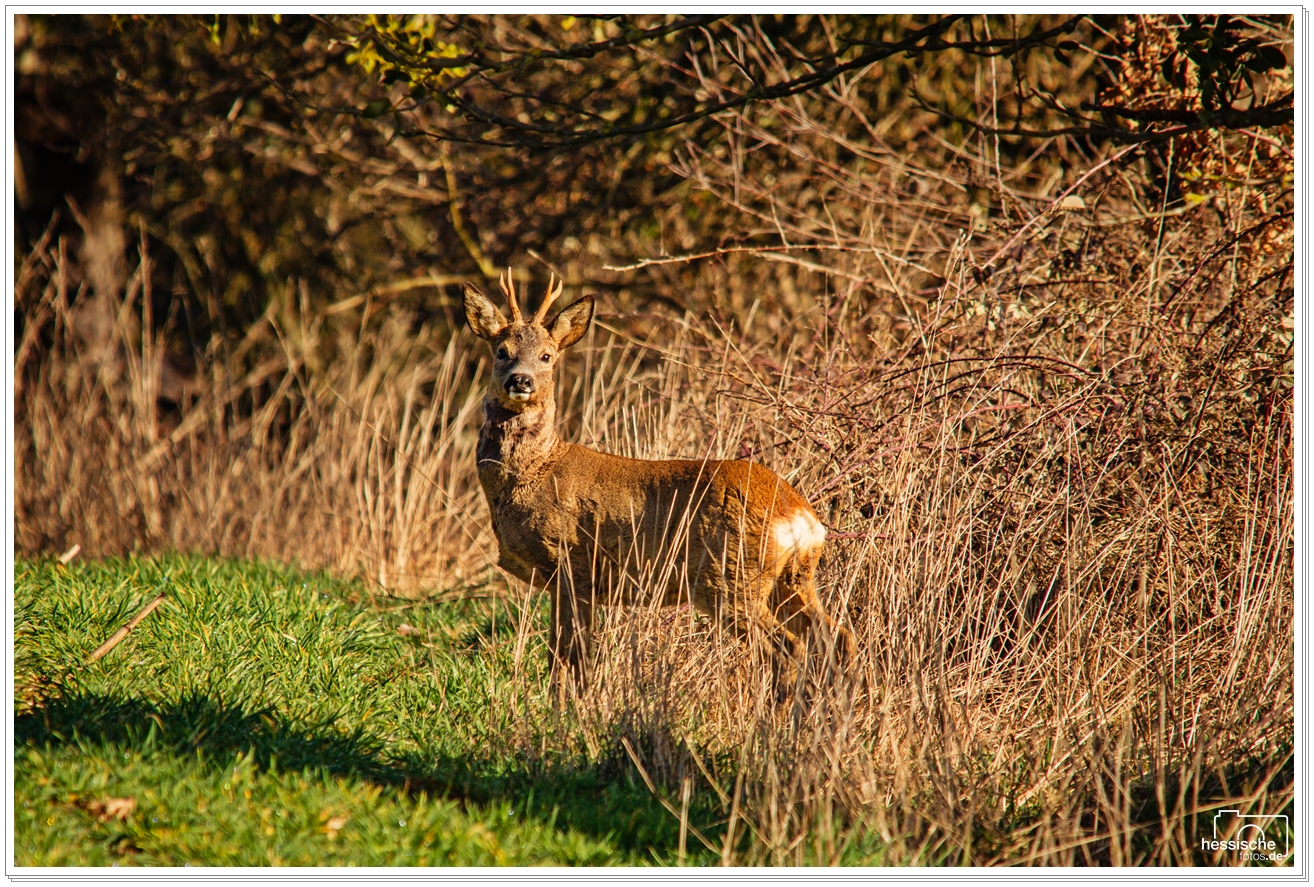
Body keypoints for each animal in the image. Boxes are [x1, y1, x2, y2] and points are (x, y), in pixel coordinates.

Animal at [465, 274, 851, 699]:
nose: (521, 380)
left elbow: (567, 658)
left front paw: (566, 711)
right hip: (793, 579)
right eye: (502, 351)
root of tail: (801, 517)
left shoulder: (572, 565)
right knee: (836, 637)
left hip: (728, 578)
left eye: (547, 356)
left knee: (786, 646)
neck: (534, 470)